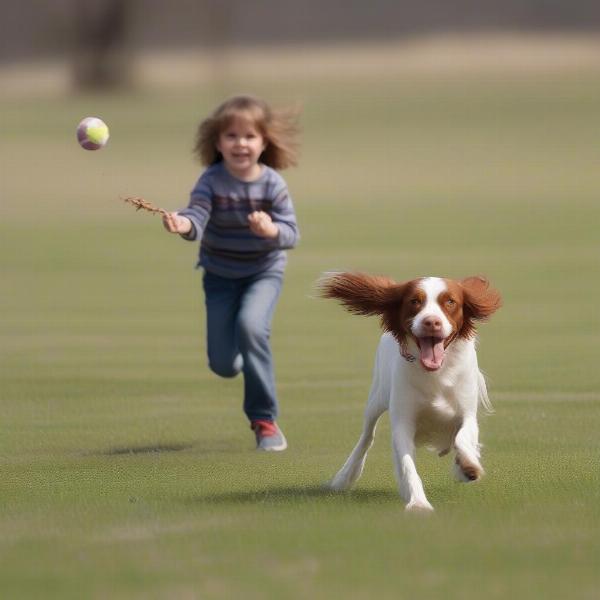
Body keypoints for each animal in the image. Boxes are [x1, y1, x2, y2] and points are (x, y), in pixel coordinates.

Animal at [318, 272, 502, 510]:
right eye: (415, 301)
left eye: (450, 301)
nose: (431, 322)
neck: (436, 373)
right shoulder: (403, 423)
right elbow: (406, 465)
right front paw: (418, 504)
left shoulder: (467, 413)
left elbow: (462, 438)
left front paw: (468, 466)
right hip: (376, 400)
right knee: (367, 437)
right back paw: (344, 478)